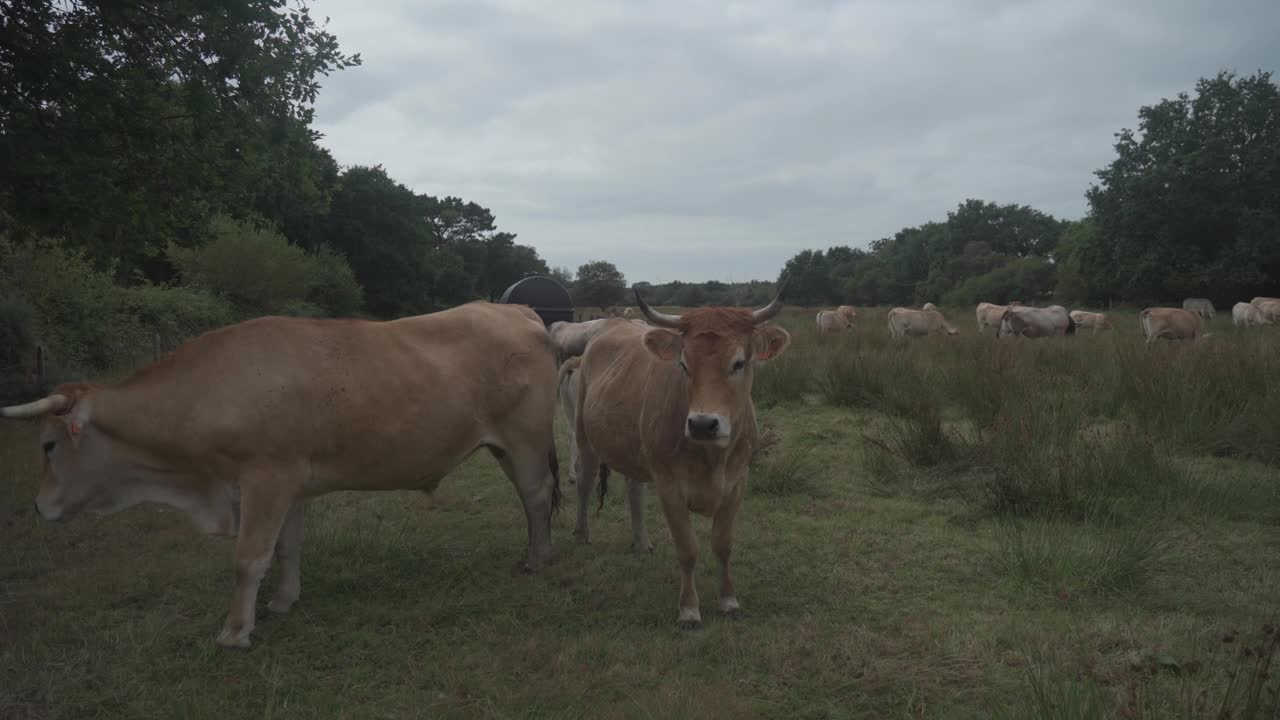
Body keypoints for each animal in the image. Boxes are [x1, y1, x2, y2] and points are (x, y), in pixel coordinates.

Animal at [1, 299, 560, 648]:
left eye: (49, 445)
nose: (38, 505)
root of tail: (515, 310)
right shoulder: (293, 483)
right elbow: (287, 547)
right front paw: (284, 600)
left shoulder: (264, 478)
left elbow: (248, 558)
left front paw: (235, 630)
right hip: (505, 446)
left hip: (526, 441)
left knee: (536, 498)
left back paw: (536, 560)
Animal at [573, 278, 788, 625]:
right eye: (685, 365)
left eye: (739, 363)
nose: (702, 424)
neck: (712, 457)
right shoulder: (669, 487)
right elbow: (687, 549)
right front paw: (689, 608)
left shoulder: (736, 484)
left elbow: (722, 545)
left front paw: (729, 600)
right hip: (584, 436)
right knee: (584, 480)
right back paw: (582, 533)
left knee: (634, 488)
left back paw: (641, 541)